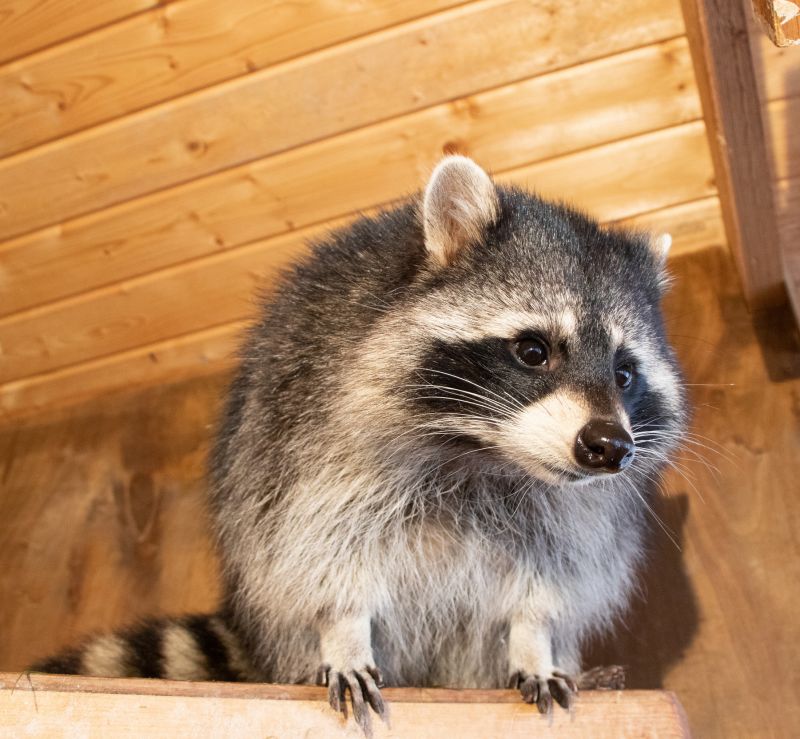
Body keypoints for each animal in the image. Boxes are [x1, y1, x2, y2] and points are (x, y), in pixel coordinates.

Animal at [32, 156, 686, 734]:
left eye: (624, 374)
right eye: (534, 350)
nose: (609, 447)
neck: (482, 451)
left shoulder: (577, 511)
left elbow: (553, 579)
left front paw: (534, 641)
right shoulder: (310, 444)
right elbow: (317, 555)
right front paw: (343, 632)